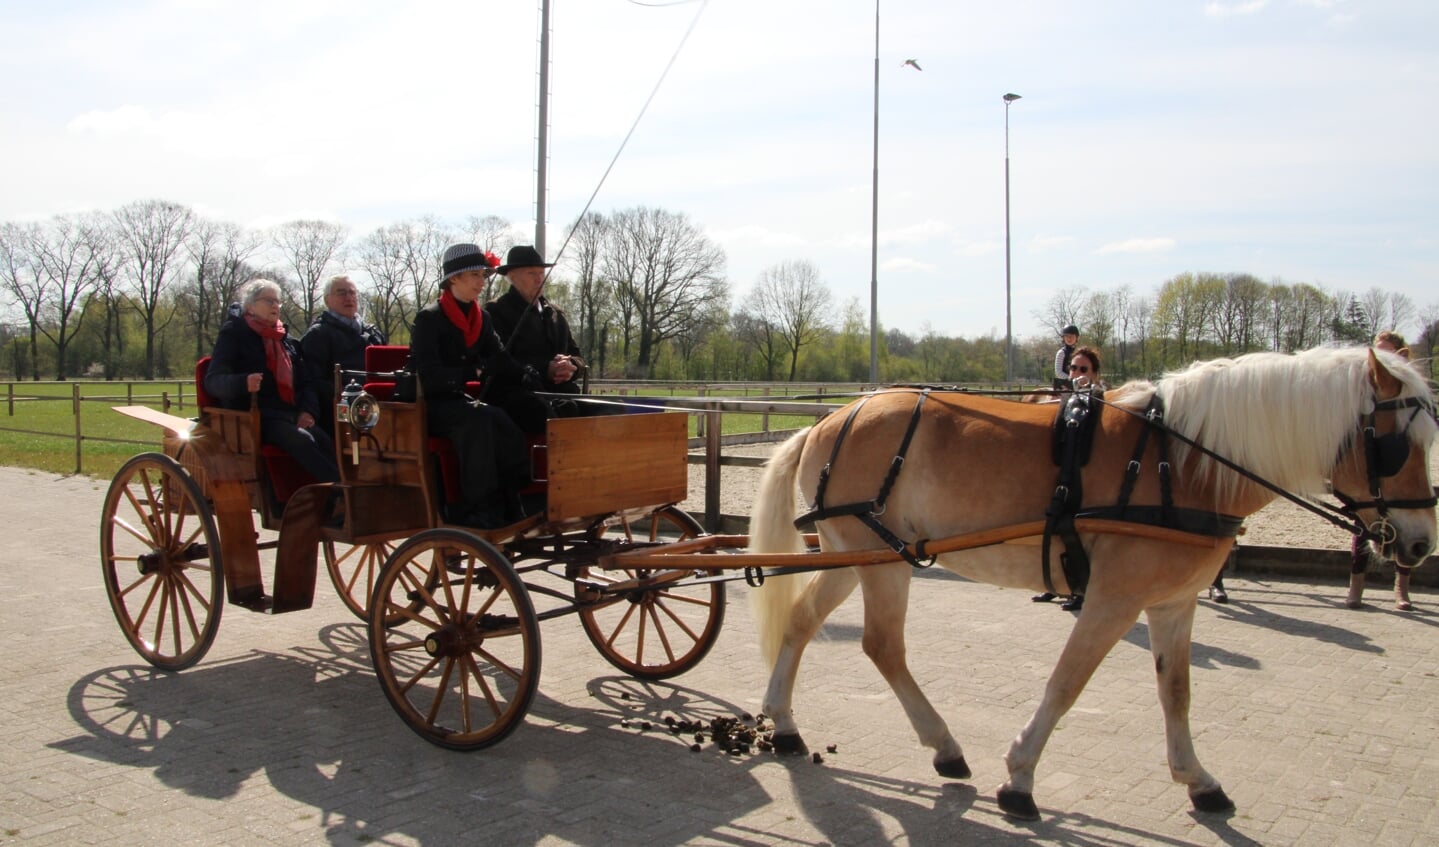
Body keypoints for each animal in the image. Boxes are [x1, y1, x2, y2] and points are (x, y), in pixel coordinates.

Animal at [748, 346, 1433, 816]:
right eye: (1397, 445)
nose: (1422, 543)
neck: (1181, 463)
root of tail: (831, 419)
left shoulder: (1173, 604)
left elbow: (1176, 691)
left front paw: (1197, 779)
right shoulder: (1112, 600)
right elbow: (1067, 682)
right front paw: (1020, 777)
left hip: (855, 556)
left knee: (805, 623)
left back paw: (785, 723)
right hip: (881, 559)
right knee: (882, 645)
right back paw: (942, 744)